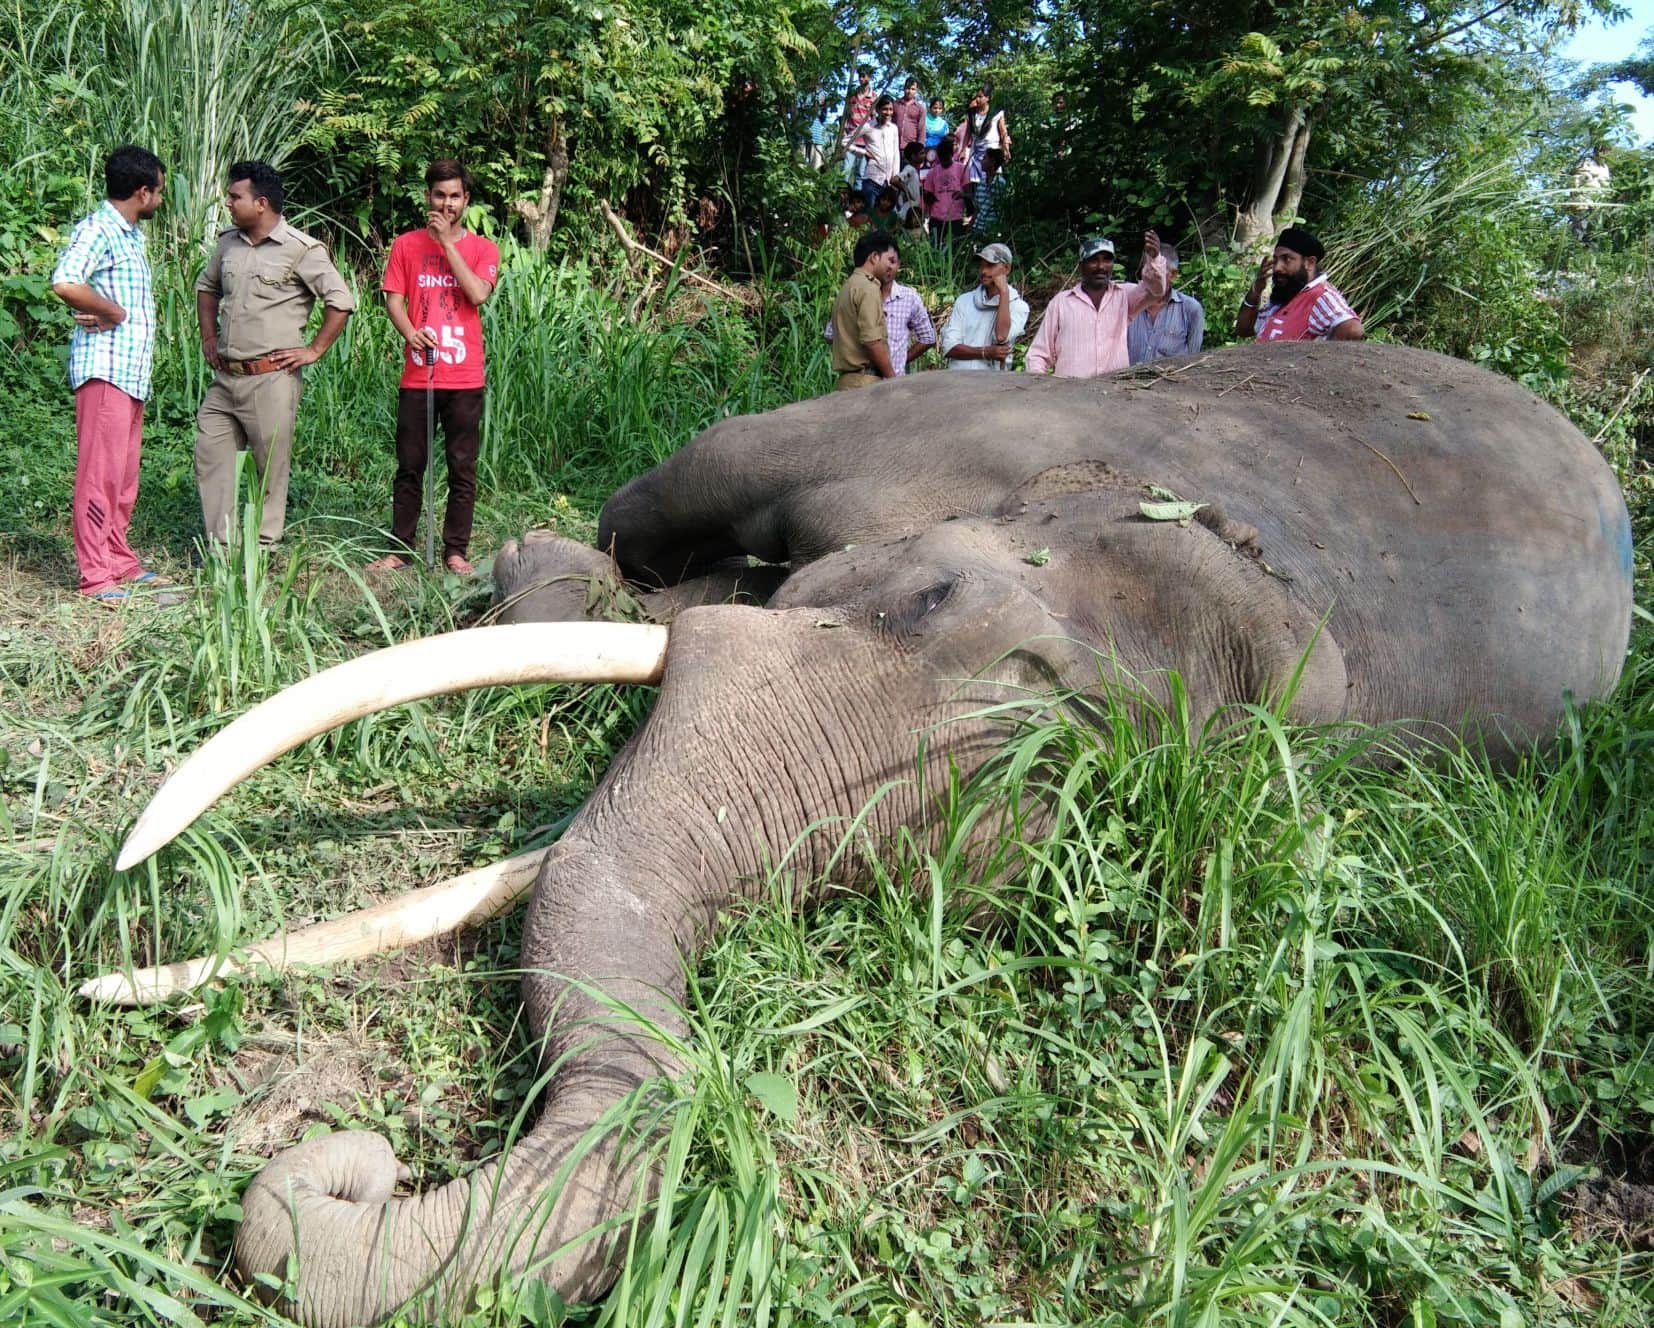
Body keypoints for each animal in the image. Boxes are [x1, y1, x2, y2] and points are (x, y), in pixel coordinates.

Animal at [113, 341, 1632, 1327]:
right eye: (941, 606)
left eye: (1041, 814)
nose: (351, 1167)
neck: (1246, 557)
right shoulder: (911, 439)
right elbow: (654, 514)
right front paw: (536, 578)